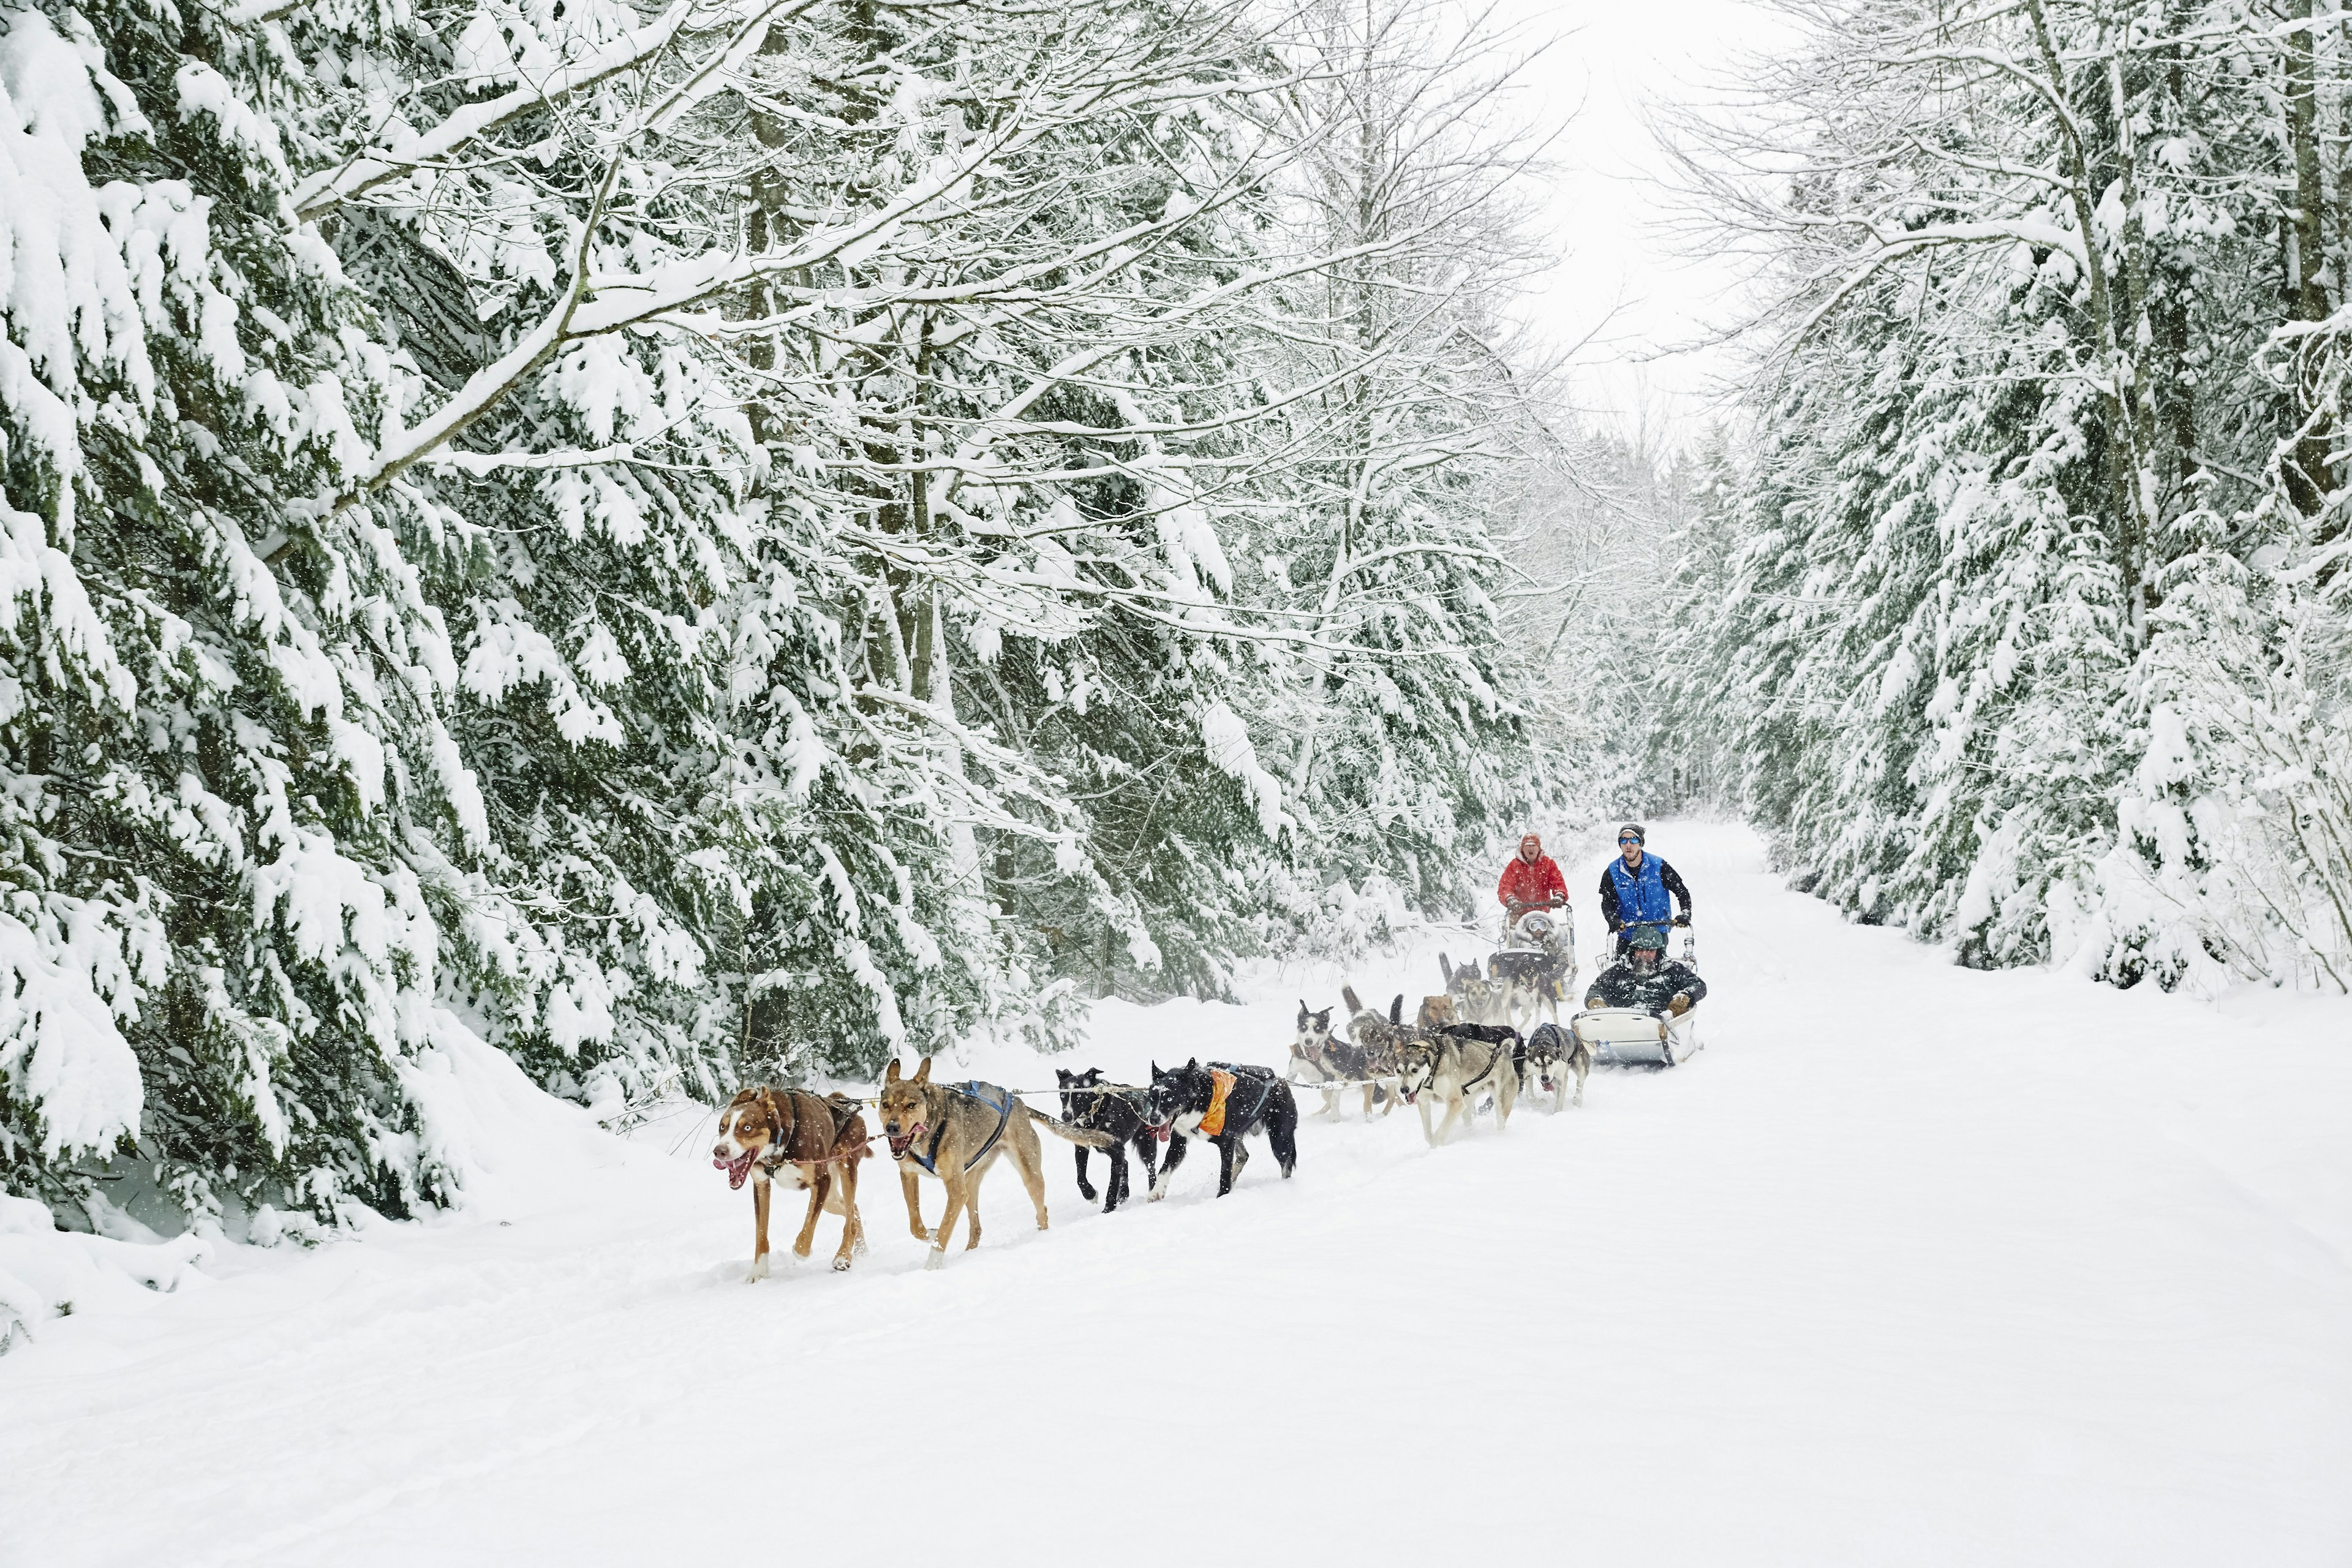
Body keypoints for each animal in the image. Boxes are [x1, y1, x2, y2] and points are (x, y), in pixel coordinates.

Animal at [715, 1086, 875, 1278]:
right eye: (722, 1127)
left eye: (747, 1127)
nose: (719, 1151)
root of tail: (843, 1101)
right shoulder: (761, 1185)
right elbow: (761, 1235)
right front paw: (759, 1272)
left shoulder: (822, 1181)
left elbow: (807, 1232)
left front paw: (802, 1252)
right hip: (829, 1199)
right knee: (854, 1210)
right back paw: (861, 1250)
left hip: (846, 1166)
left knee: (850, 1219)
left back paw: (843, 1257)